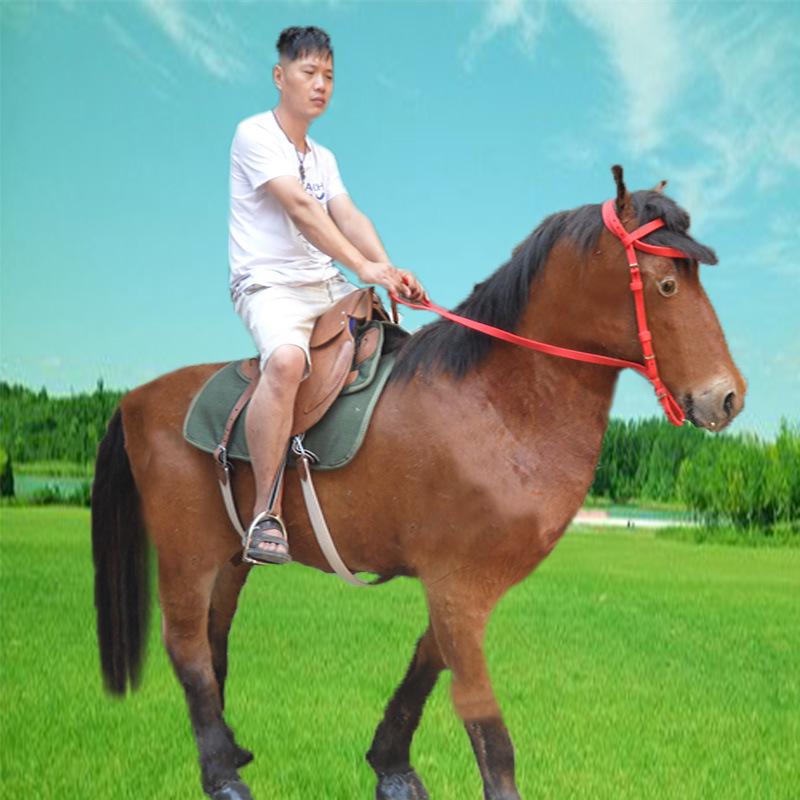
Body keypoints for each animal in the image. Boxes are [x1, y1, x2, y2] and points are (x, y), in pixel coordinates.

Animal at [91, 167, 745, 800]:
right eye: (666, 284)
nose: (727, 397)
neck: (495, 405)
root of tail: (135, 398)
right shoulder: (459, 590)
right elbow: (487, 729)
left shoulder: (460, 588)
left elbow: (424, 671)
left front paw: (391, 766)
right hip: (187, 554)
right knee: (187, 646)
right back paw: (221, 773)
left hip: (230, 556)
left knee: (214, 638)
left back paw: (229, 749)